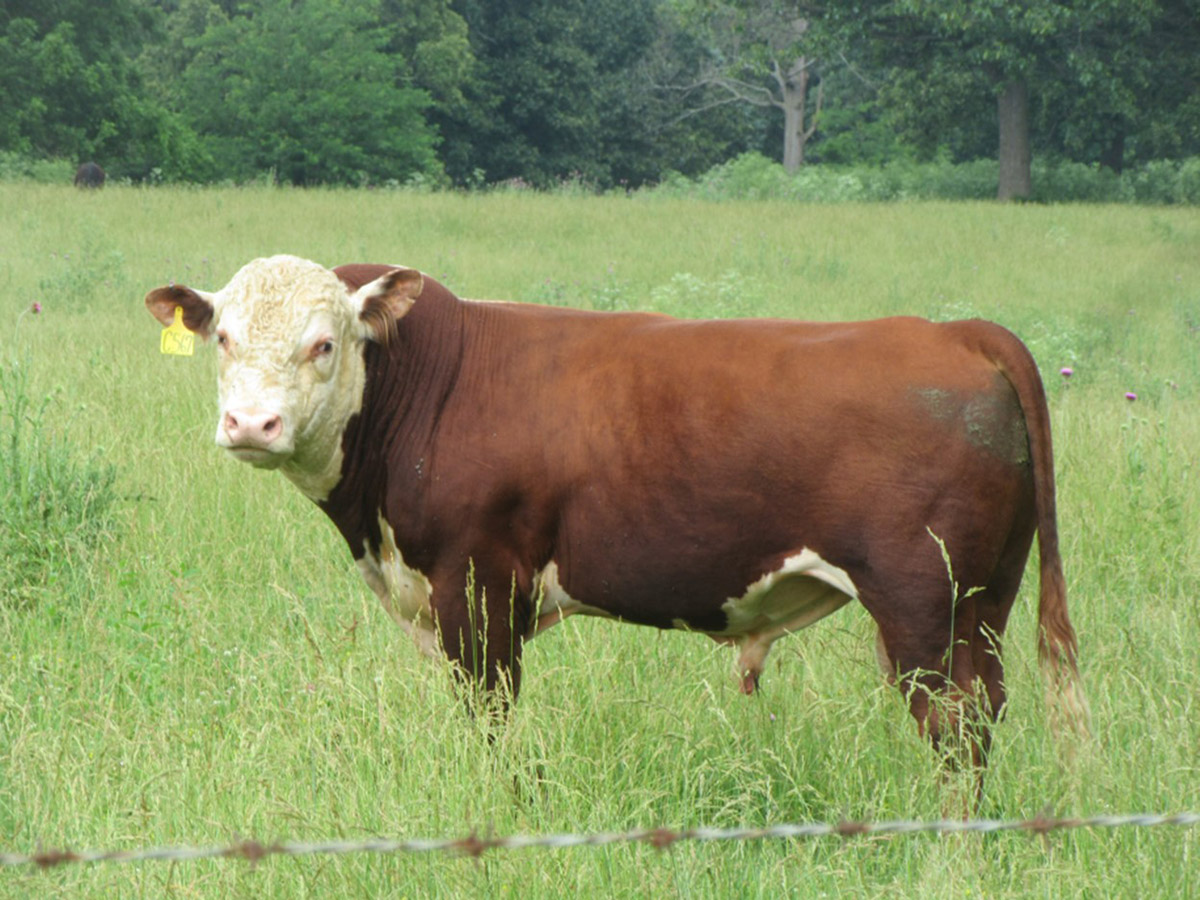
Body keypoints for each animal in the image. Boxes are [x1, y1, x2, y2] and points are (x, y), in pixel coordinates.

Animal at [147, 254, 1089, 768]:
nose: (251, 424)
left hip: (921, 602)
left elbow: (491, 719)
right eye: (223, 336)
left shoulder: (478, 589)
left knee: (953, 723)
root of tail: (955, 331)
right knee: (987, 708)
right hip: (984, 602)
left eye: (324, 343)